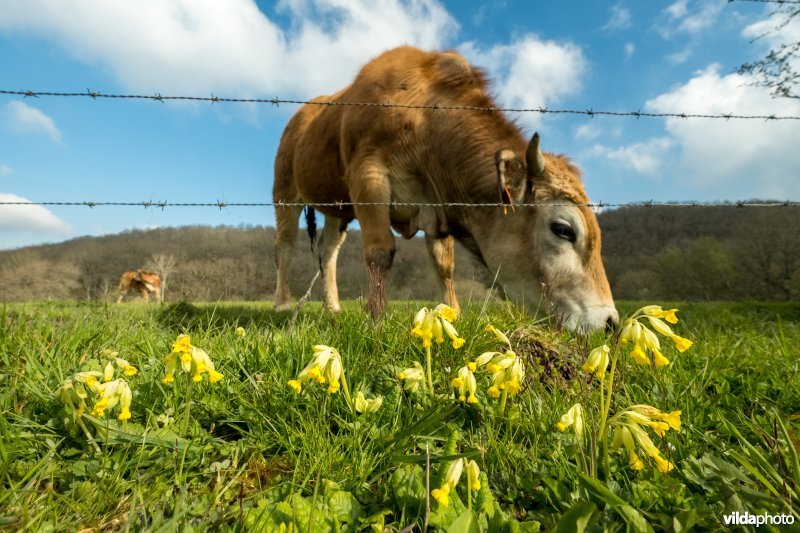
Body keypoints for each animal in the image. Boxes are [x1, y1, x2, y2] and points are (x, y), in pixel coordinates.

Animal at [276, 45, 620, 330]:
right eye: (563, 229)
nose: (610, 323)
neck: (424, 121)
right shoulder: (368, 177)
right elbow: (379, 252)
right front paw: (377, 318)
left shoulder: (435, 205)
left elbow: (444, 264)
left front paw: (452, 313)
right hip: (284, 190)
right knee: (286, 245)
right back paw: (282, 304)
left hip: (336, 208)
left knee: (329, 250)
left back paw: (333, 307)